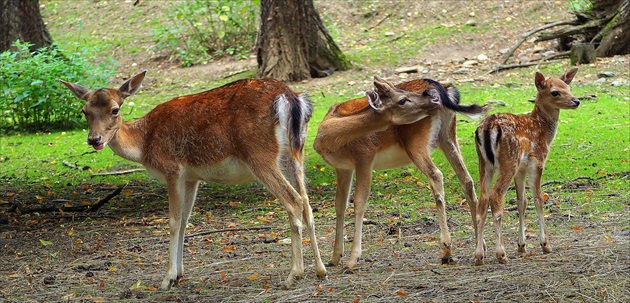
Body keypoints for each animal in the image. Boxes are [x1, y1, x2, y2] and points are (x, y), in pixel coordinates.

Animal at [59, 72, 328, 290]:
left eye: (115, 110)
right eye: (85, 112)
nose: (94, 139)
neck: (144, 145)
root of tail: (290, 98)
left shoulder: (172, 169)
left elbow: (173, 222)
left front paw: (167, 278)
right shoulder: (192, 177)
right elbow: (186, 221)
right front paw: (179, 274)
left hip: (260, 154)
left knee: (293, 200)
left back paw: (293, 275)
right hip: (296, 153)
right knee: (307, 203)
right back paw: (321, 270)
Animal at [314, 77, 488, 270]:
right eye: (403, 99)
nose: (432, 99)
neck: (329, 138)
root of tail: (445, 89)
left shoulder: (365, 155)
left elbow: (359, 201)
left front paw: (353, 259)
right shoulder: (343, 167)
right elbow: (339, 204)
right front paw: (334, 257)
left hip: (416, 142)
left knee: (436, 175)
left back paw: (446, 251)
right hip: (448, 136)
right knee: (467, 179)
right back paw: (481, 246)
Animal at [474, 68, 584, 266]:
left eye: (568, 87)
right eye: (555, 92)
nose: (576, 101)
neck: (543, 132)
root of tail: (487, 128)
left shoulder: (521, 170)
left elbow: (522, 201)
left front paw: (522, 246)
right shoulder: (537, 161)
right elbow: (538, 198)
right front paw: (545, 244)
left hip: (484, 164)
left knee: (482, 200)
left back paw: (479, 255)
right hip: (509, 161)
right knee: (496, 195)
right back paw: (501, 253)